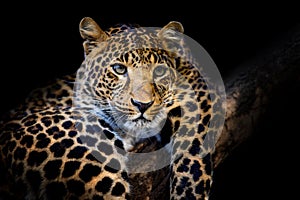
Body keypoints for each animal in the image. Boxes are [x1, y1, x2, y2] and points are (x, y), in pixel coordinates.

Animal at [0, 16, 225, 198]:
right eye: (119, 69)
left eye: (159, 71)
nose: (142, 104)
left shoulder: (197, 91)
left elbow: (191, 154)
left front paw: (188, 191)